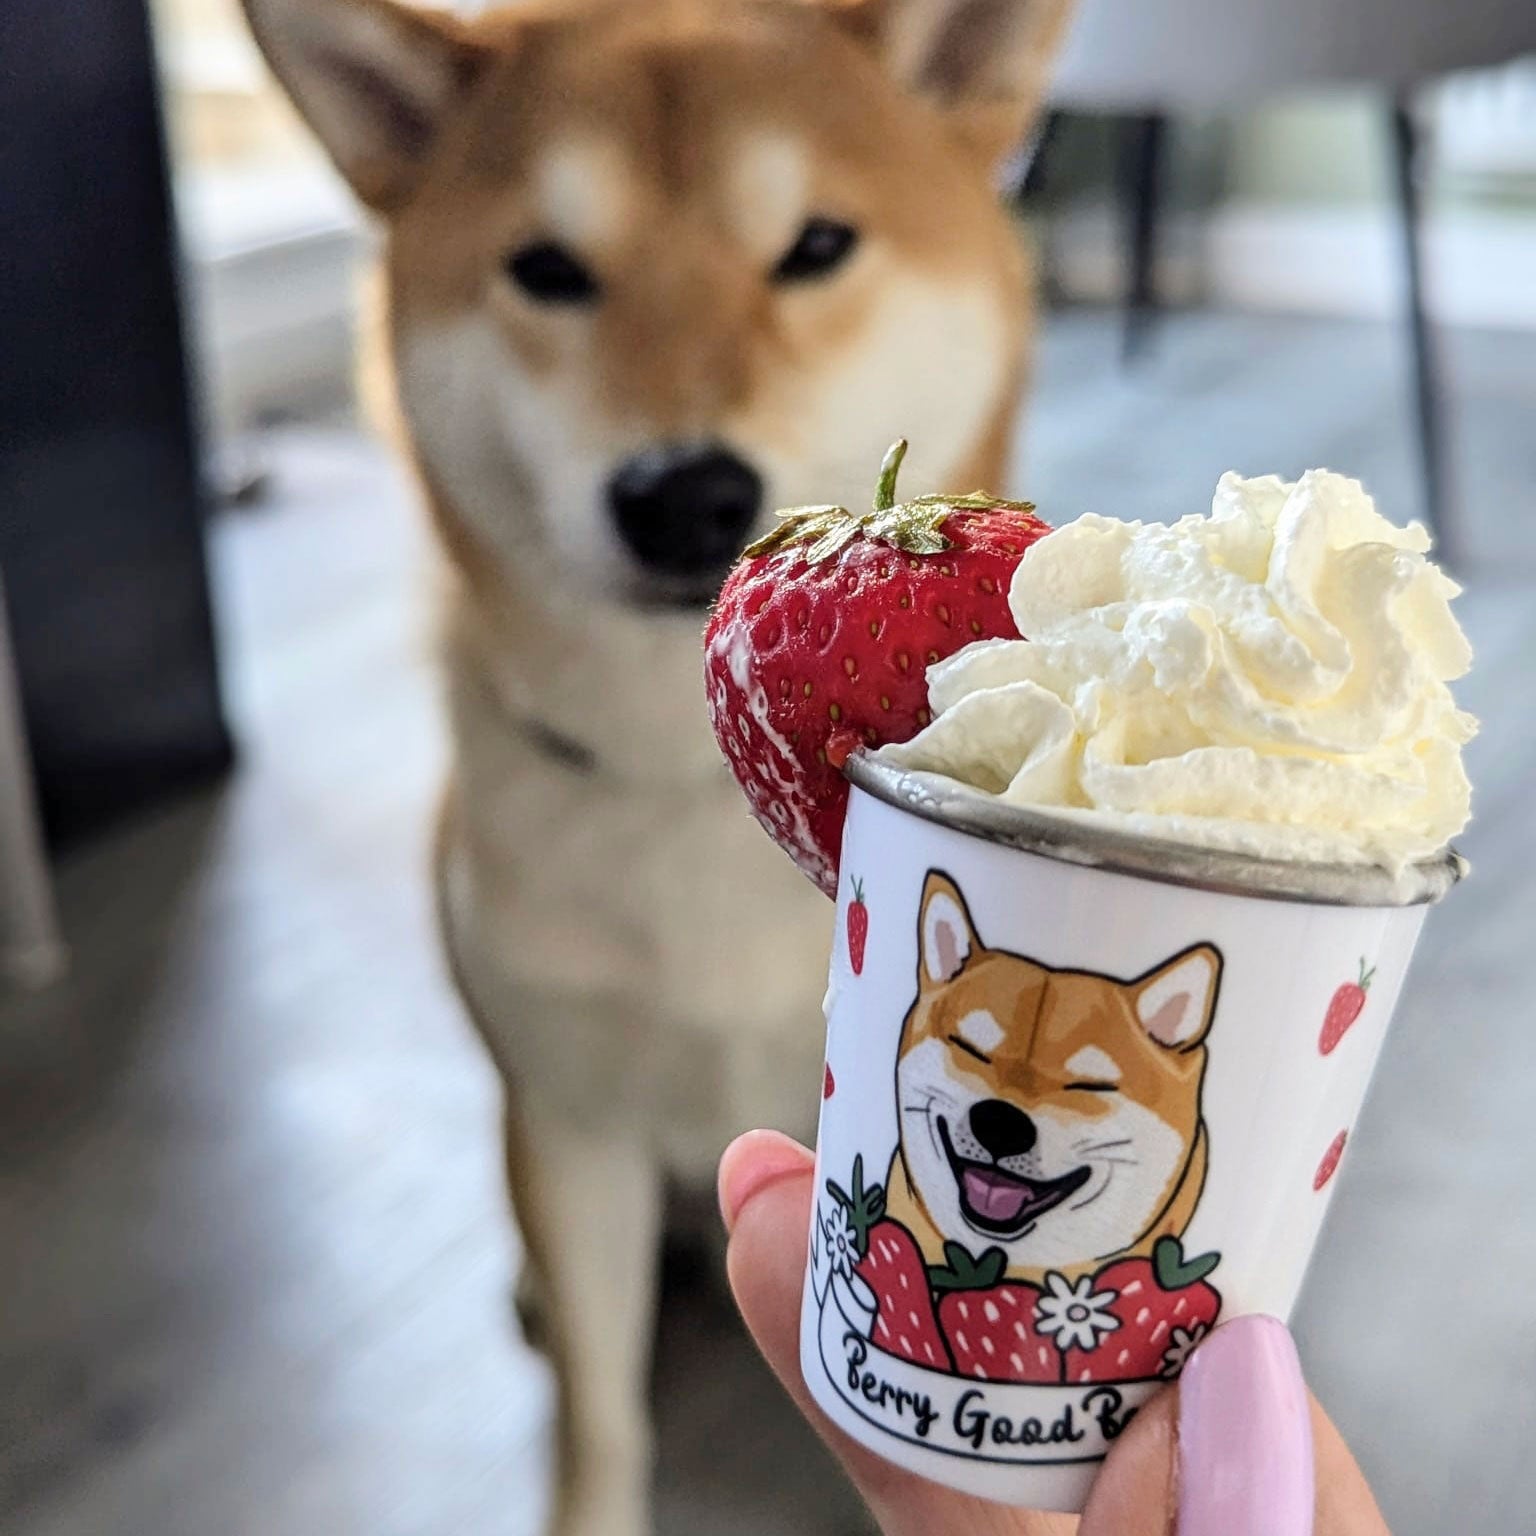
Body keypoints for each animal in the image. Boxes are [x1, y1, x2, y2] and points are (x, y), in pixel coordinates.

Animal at [242, 6, 1081, 1529]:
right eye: (548, 270)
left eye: (816, 245)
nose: (684, 494)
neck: (690, 786)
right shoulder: (571, 1124)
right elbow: (598, 1416)